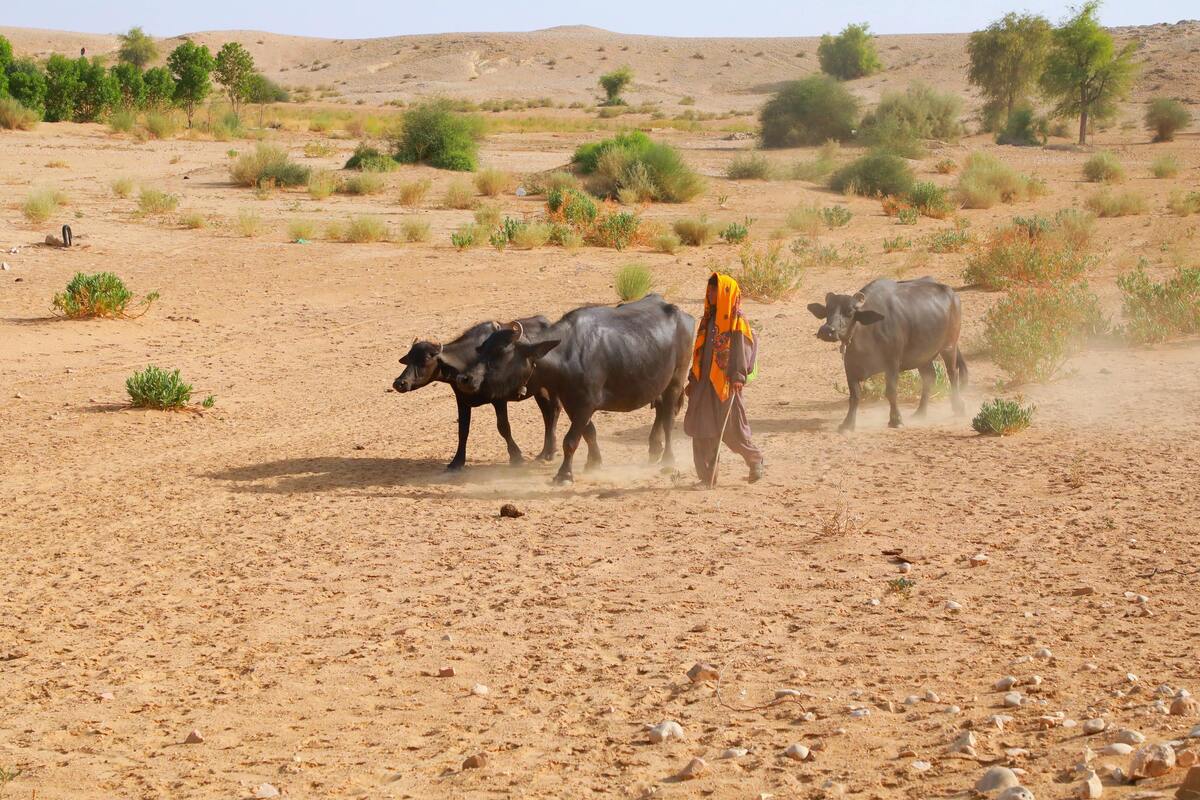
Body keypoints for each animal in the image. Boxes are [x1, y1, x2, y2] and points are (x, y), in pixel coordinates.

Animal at [396, 316, 559, 470]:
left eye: (425, 359)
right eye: (409, 359)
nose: (399, 383)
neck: (468, 362)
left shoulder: (499, 399)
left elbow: (503, 427)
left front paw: (516, 457)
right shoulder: (462, 400)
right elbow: (463, 430)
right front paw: (456, 462)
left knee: (553, 411)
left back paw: (548, 452)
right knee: (548, 413)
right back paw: (546, 451)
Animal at [453, 293, 696, 482]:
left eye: (501, 352)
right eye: (481, 348)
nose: (465, 379)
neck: (567, 354)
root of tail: (682, 315)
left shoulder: (585, 404)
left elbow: (570, 440)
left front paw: (564, 475)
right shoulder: (572, 404)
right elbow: (589, 433)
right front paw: (594, 462)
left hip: (676, 380)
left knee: (668, 418)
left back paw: (668, 459)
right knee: (661, 411)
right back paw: (654, 449)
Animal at [806, 278, 964, 434]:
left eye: (850, 312)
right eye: (828, 311)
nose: (827, 330)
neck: (866, 335)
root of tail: (952, 294)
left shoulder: (892, 364)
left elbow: (891, 392)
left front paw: (896, 420)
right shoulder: (850, 367)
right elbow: (855, 396)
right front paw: (847, 424)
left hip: (949, 346)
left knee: (953, 373)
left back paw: (958, 408)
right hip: (922, 356)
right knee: (929, 377)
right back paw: (920, 413)